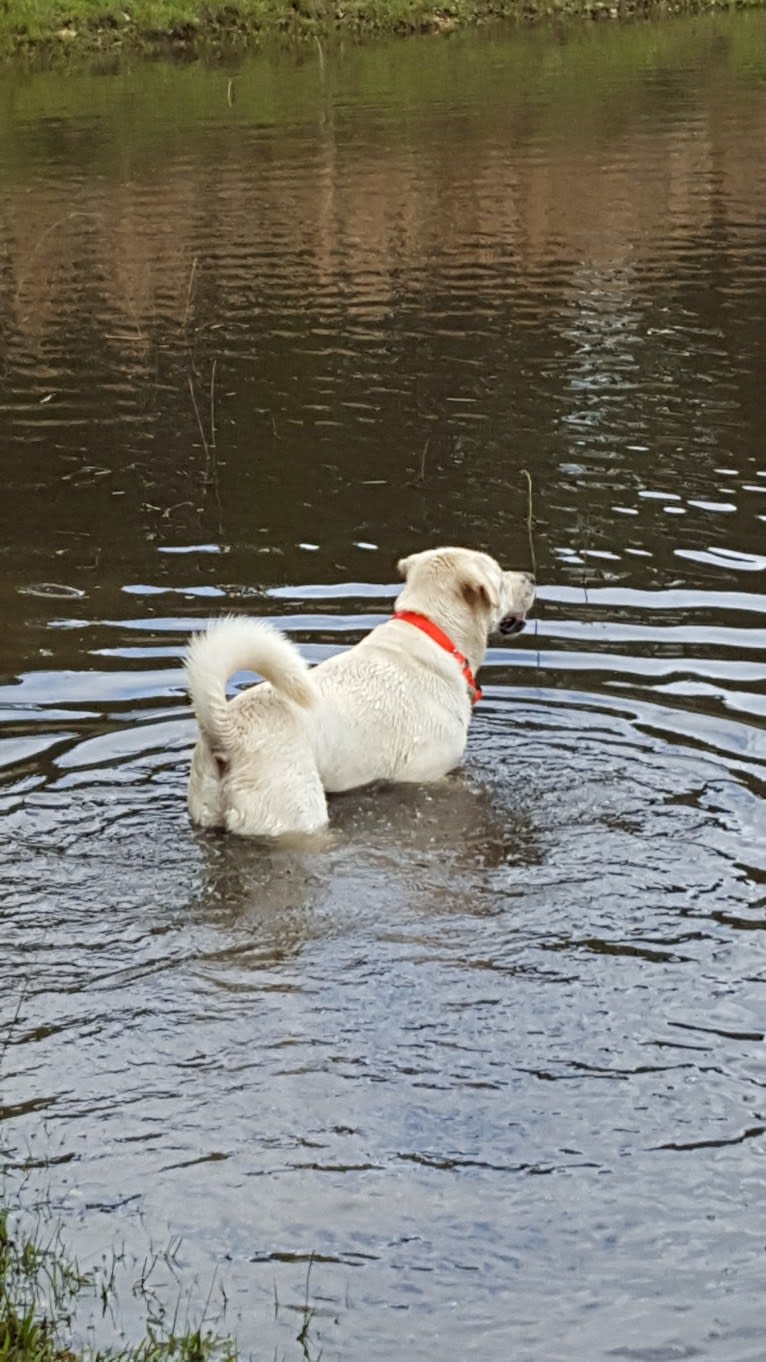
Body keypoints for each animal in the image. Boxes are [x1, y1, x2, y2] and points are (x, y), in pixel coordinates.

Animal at [184, 547, 531, 833]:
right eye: (500, 575)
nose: (531, 577)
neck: (434, 630)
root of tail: (226, 730)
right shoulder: (428, 775)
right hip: (296, 815)